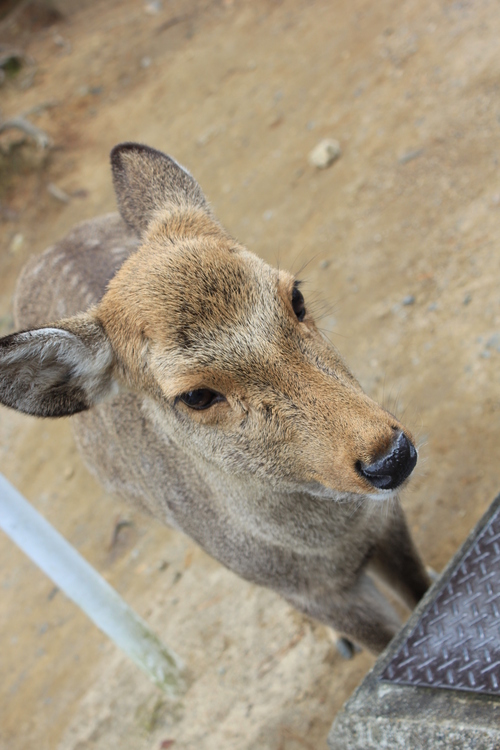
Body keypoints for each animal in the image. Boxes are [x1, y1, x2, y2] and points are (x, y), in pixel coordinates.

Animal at [0, 142, 430, 656]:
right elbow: (385, 643)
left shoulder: (388, 522)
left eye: (296, 296)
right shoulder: (307, 591)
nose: (391, 457)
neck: (333, 544)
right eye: (197, 395)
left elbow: (423, 591)